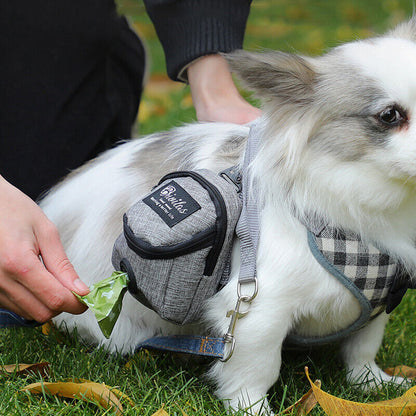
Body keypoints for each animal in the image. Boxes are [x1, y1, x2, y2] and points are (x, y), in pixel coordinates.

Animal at [39, 17, 416, 414]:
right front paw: (254, 408)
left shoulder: (380, 305)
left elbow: (362, 349)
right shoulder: (256, 309)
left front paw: (373, 383)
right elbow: (256, 369)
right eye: (389, 115)